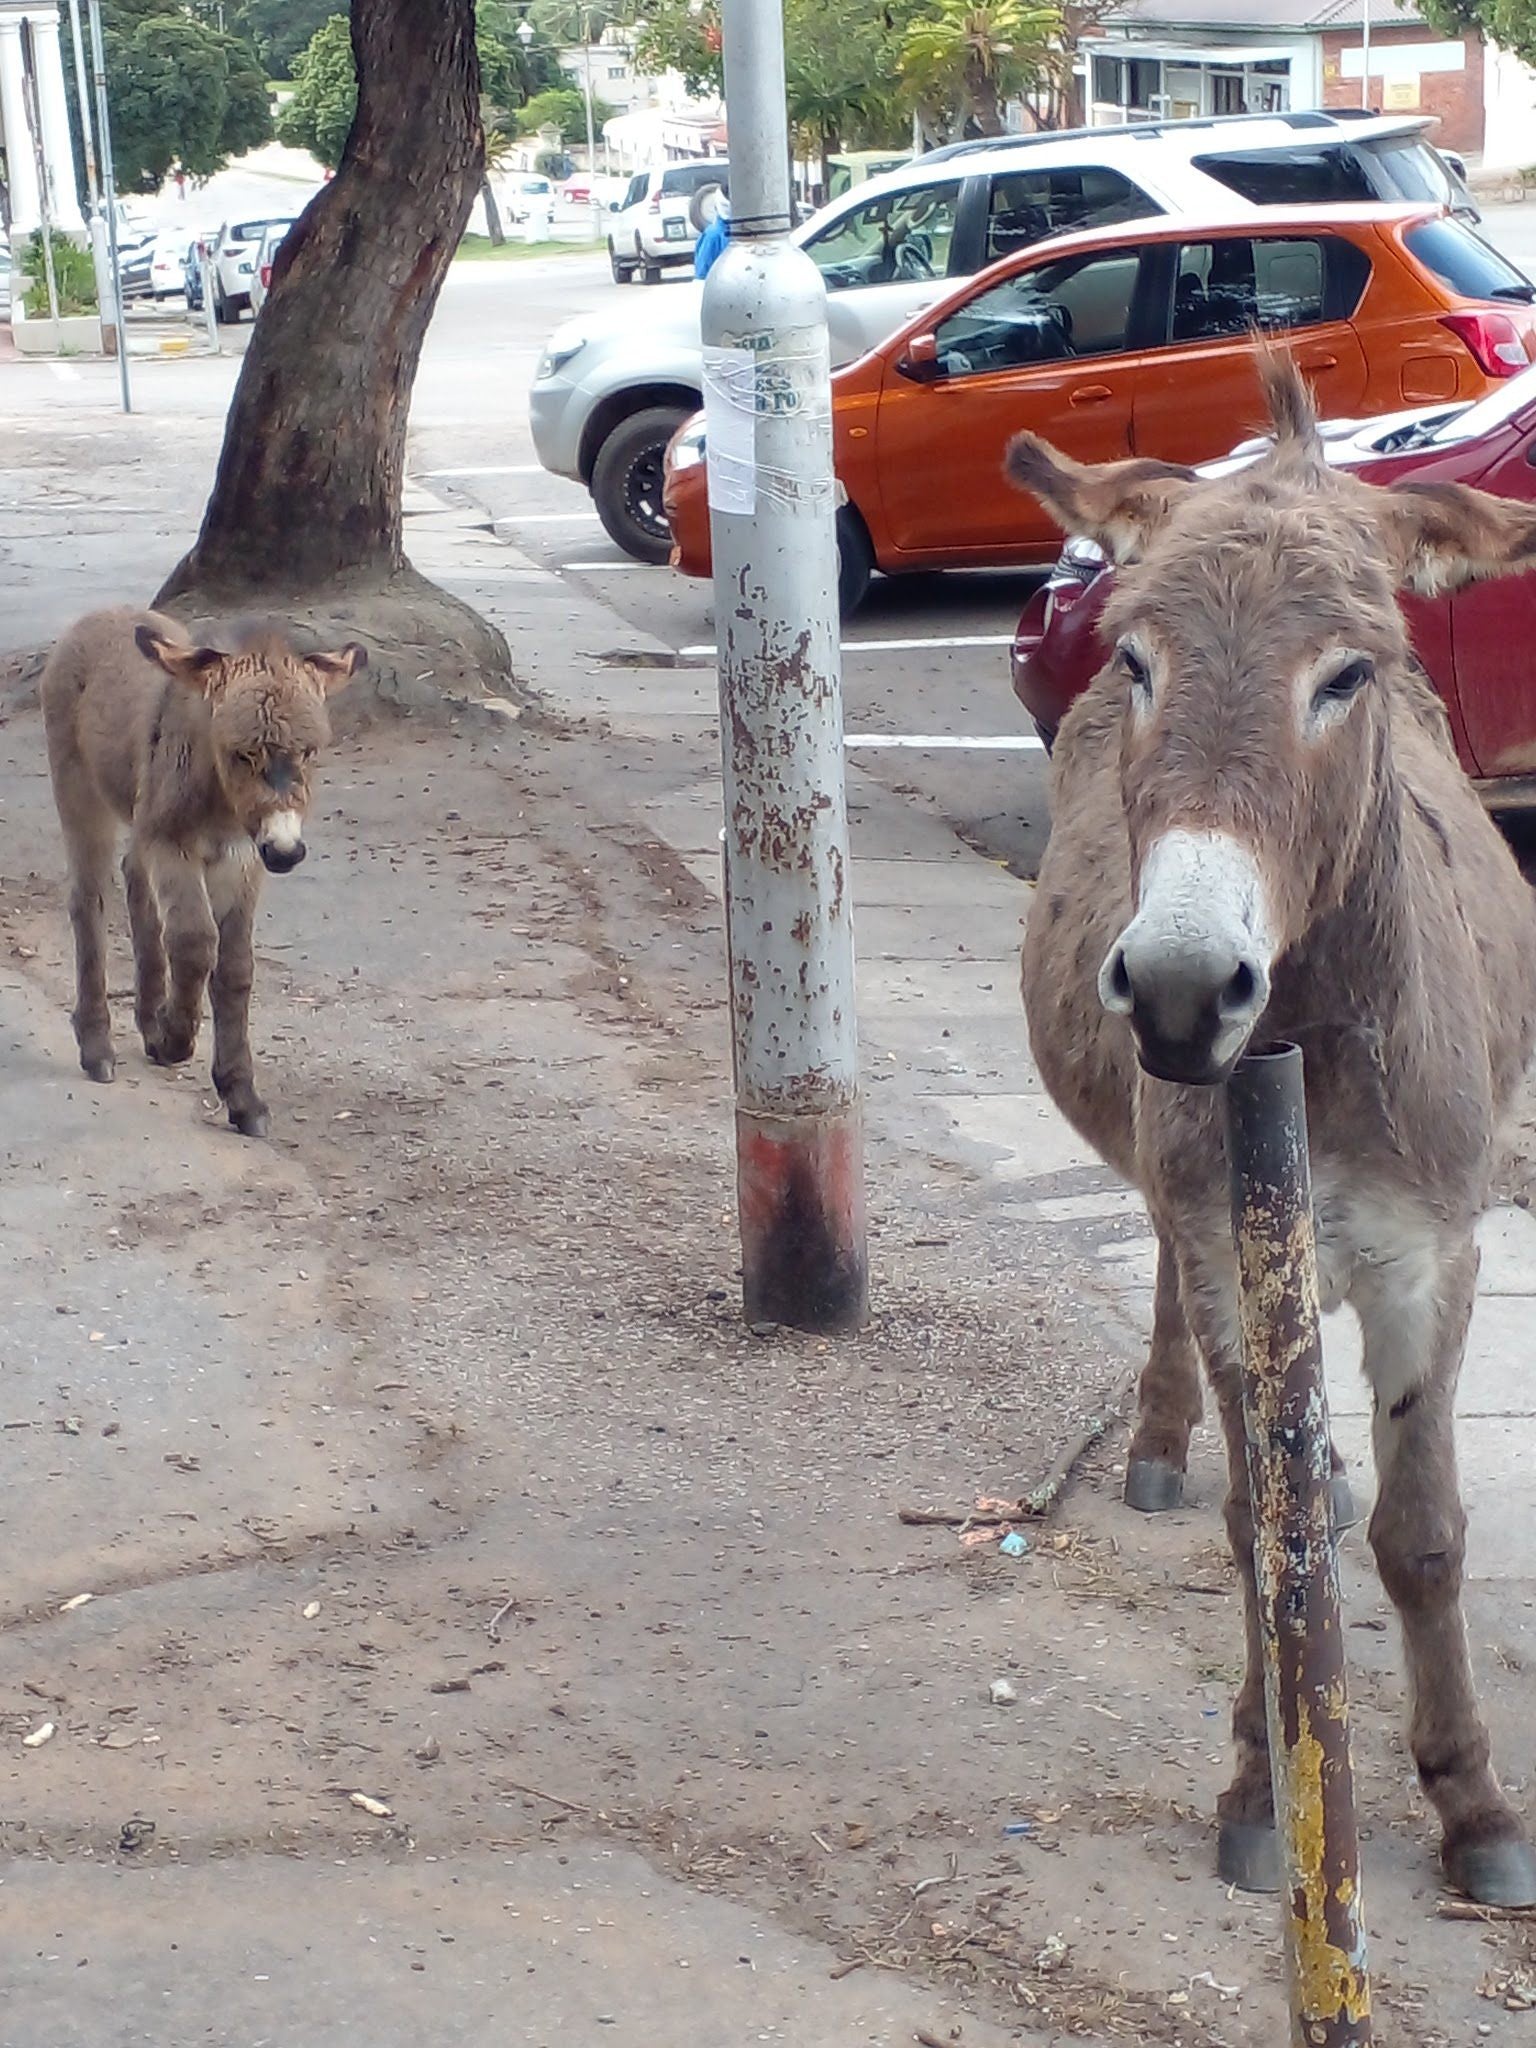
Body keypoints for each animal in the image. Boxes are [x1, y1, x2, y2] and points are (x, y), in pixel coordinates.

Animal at [41, 606, 366, 1138]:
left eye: (310, 752)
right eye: (241, 753)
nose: (286, 852)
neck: (221, 806)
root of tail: (101, 613)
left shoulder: (242, 858)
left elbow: (235, 968)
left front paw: (241, 1095)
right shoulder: (175, 846)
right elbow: (194, 943)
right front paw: (176, 1039)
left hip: (141, 820)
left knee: (134, 877)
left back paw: (147, 1019)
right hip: (79, 791)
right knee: (88, 899)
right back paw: (97, 1046)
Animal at [1015, 360, 1536, 1908]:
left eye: (1344, 676)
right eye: (1139, 664)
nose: (1185, 988)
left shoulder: (1434, 1258)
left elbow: (1423, 1539)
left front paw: (1474, 1805)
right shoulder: (1230, 1250)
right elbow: (1262, 1534)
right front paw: (1263, 1783)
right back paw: (1162, 1431)